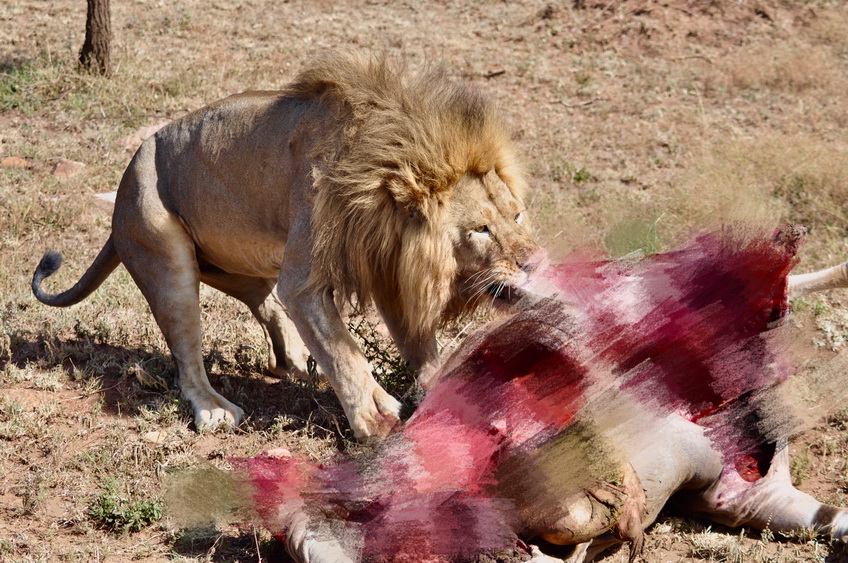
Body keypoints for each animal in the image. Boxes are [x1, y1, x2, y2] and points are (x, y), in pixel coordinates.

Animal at [31, 52, 540, 439]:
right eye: (480, 230)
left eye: (517, 216)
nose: (533, 262)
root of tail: (118, 201)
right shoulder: (306, 279)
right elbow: (344, 352)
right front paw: (375, 421)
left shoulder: (389, 270)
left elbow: (417, 346)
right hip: (162, 252)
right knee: (187, 355)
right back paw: (215, 409)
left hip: (236, 266)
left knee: (268, 307)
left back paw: (295, 364)